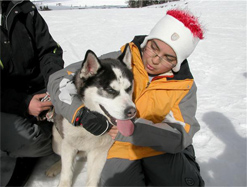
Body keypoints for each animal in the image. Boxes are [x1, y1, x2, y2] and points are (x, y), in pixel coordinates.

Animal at [45, 45, 136, 187]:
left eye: (129, 87)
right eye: (110, 90)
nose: (132, 111)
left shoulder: (100, 152)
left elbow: (92, 179)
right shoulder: (69, 145)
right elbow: (66, 173)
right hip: (58, 141)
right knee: (62, 157)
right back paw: (55, 167)